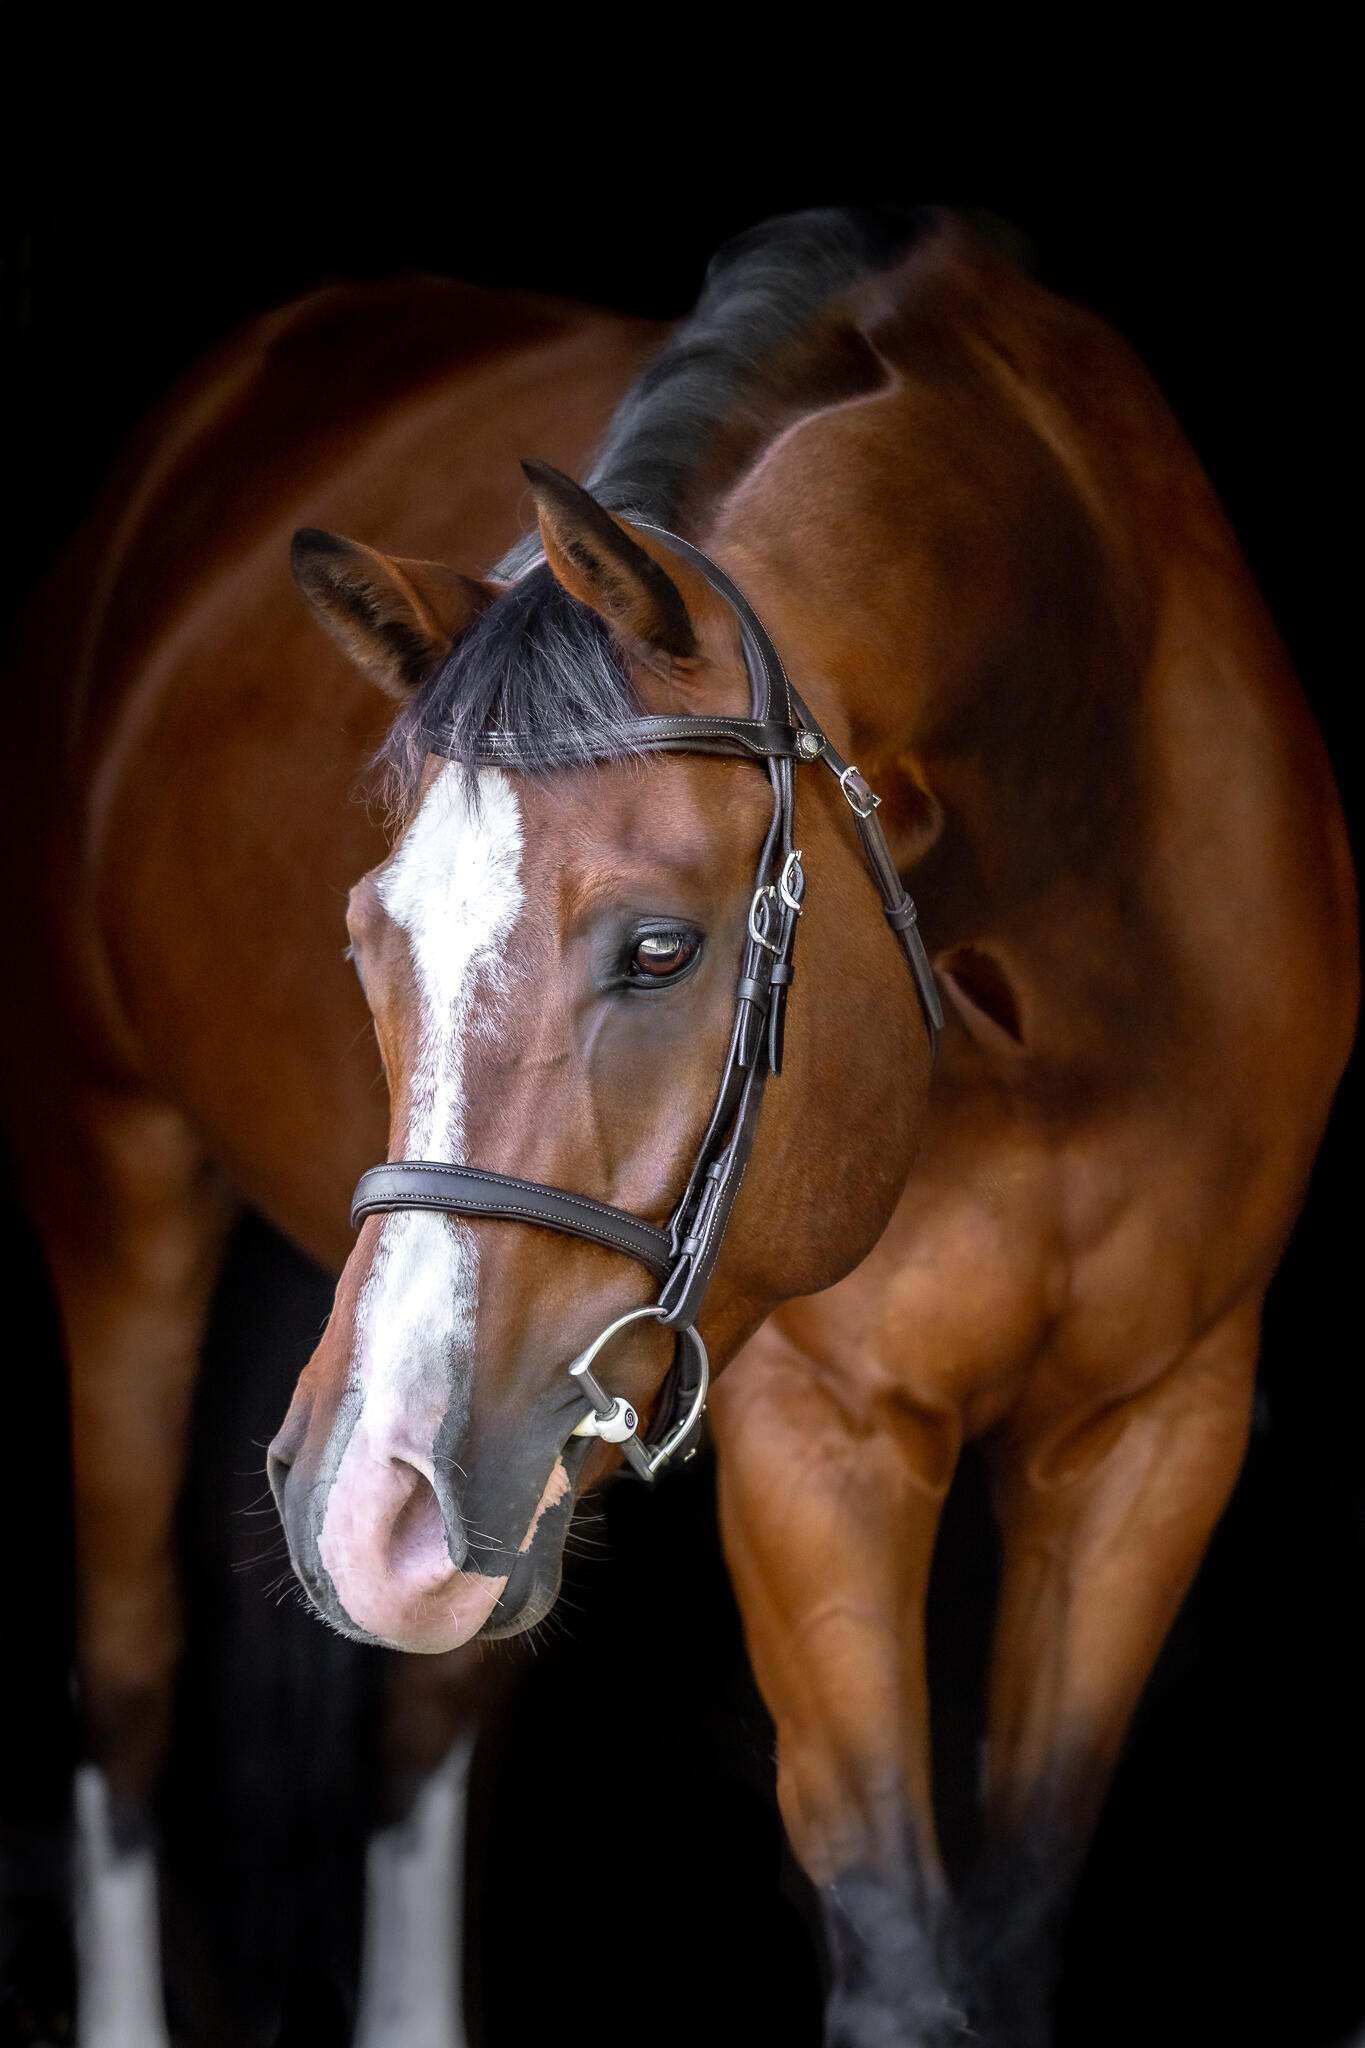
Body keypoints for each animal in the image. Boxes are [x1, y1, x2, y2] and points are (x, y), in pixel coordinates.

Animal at [0, 208, 1354, 2047]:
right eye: (367, 937)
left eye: (660, 946)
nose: (359, 1489)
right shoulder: (820, 1446)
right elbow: (899, 1953)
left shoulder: (1157, 1430)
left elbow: (1006, 1937)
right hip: (120, 1177)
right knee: (134, 1680)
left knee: (424, 1722)